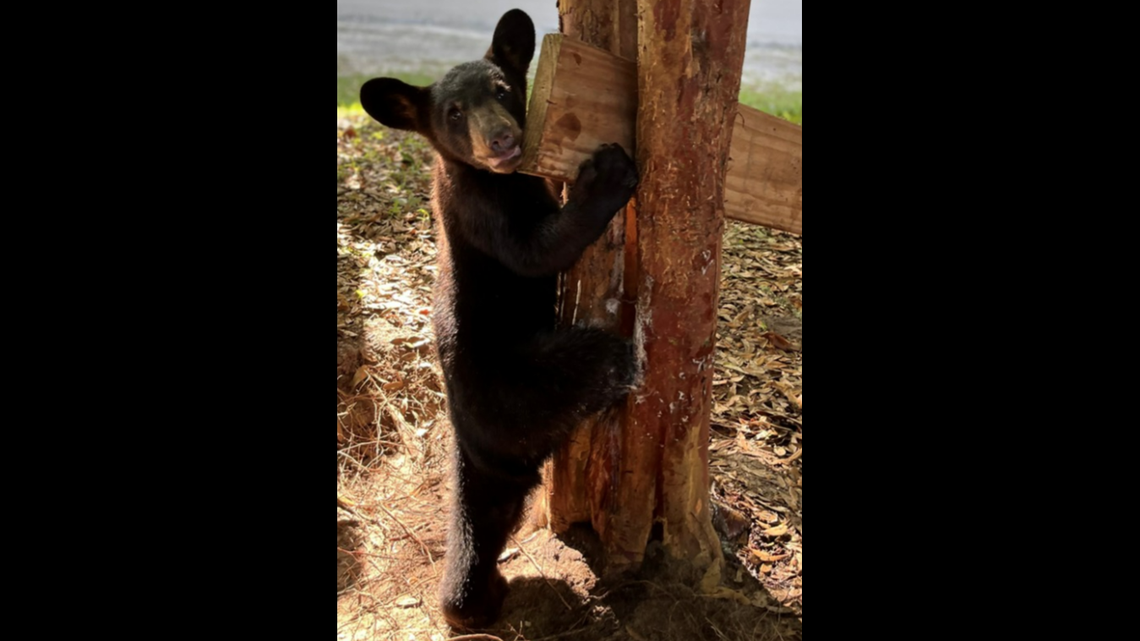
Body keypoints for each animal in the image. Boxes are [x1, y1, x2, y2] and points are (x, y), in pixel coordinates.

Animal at [360, 9, 639, 630]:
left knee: (490, 517)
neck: (500, 177)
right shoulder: (481, 210)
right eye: (453, 113)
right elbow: (538, 249)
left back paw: (480, 598)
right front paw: (607, 175)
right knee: (586, 367)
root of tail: (470, 439)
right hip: (519, 386)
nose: (503, 139)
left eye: (504, 89)